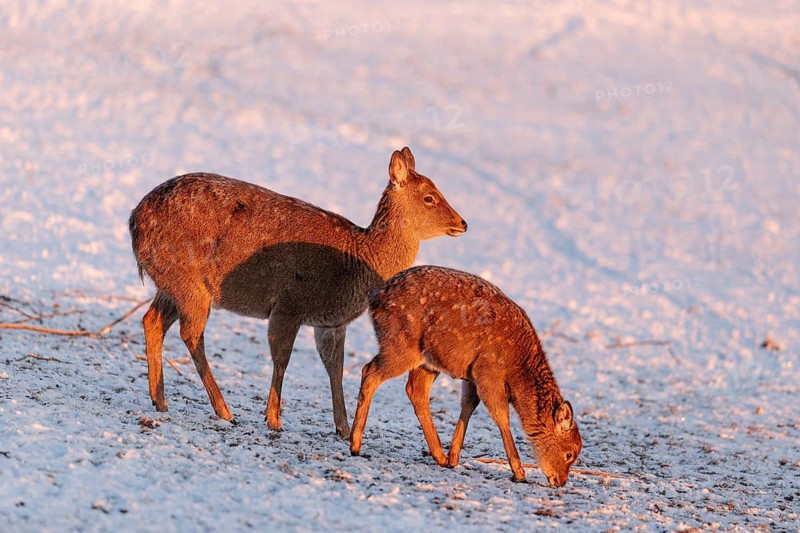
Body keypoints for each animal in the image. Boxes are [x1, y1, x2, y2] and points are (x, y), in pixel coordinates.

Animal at [129, 147, 467, 438]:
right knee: (191, 333)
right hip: (189, 282)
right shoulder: (289, 304)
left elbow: (335, 368)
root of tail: (134, 220)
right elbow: (282, 358)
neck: (357, 262)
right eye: (429, 197)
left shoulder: (331, 323)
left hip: (170, 284)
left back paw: (160, 400)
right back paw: (224, 410)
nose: (462, 223)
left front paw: (344, 429)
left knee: (152, 321)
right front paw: (274, 419)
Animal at [349, 266, 582, 486]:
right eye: (569, 454)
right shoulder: (488, 371)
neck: (517, 368)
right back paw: (355, 444)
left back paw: (440, 456)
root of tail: (375, 300)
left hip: (428, 361)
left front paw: (454, 457)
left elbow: (469, 405)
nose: (561, 481)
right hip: (401, 345)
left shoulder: (472, 375)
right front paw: (519, 472)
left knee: (415, 390)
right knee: (369, 371)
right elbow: (501, 415)